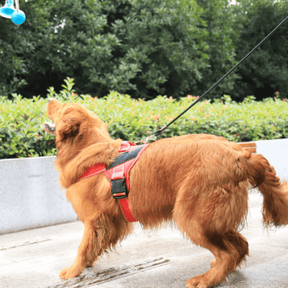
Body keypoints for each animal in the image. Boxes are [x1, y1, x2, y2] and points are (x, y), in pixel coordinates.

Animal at [44, 99, 288, 288]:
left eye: (62, 107)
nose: (49, 99)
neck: (85, 149)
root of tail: (242, 155)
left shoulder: (95, 220)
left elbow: (83, 248)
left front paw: (73, 271)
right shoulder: (111, 222)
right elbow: (93, 247)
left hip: (193, 217)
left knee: (229, 253)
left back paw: (206, 280)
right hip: (212, 219)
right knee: (241, 246)